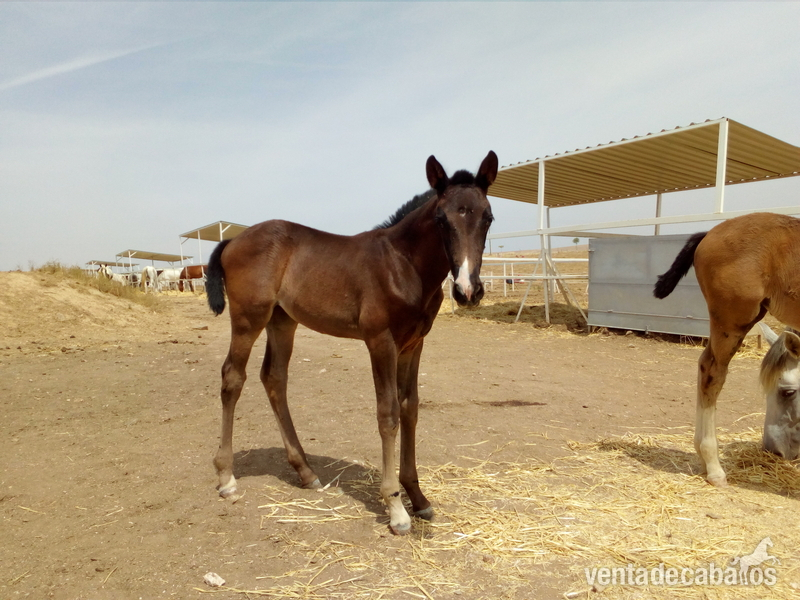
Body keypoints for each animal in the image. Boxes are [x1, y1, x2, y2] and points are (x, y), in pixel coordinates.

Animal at [206, 151, 498, 535]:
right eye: (441, 218)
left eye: (488, 217)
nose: (467, 290)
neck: (403, 264)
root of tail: (232, 241)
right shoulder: (381, 342)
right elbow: (388, 413)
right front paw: (395, 507)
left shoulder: (414, 344)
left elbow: (410, 409)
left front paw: (418, 498)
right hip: (247, 319)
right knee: (232, 378)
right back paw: (226, 477)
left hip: (282, 322)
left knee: (274, 378)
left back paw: (306, 472)